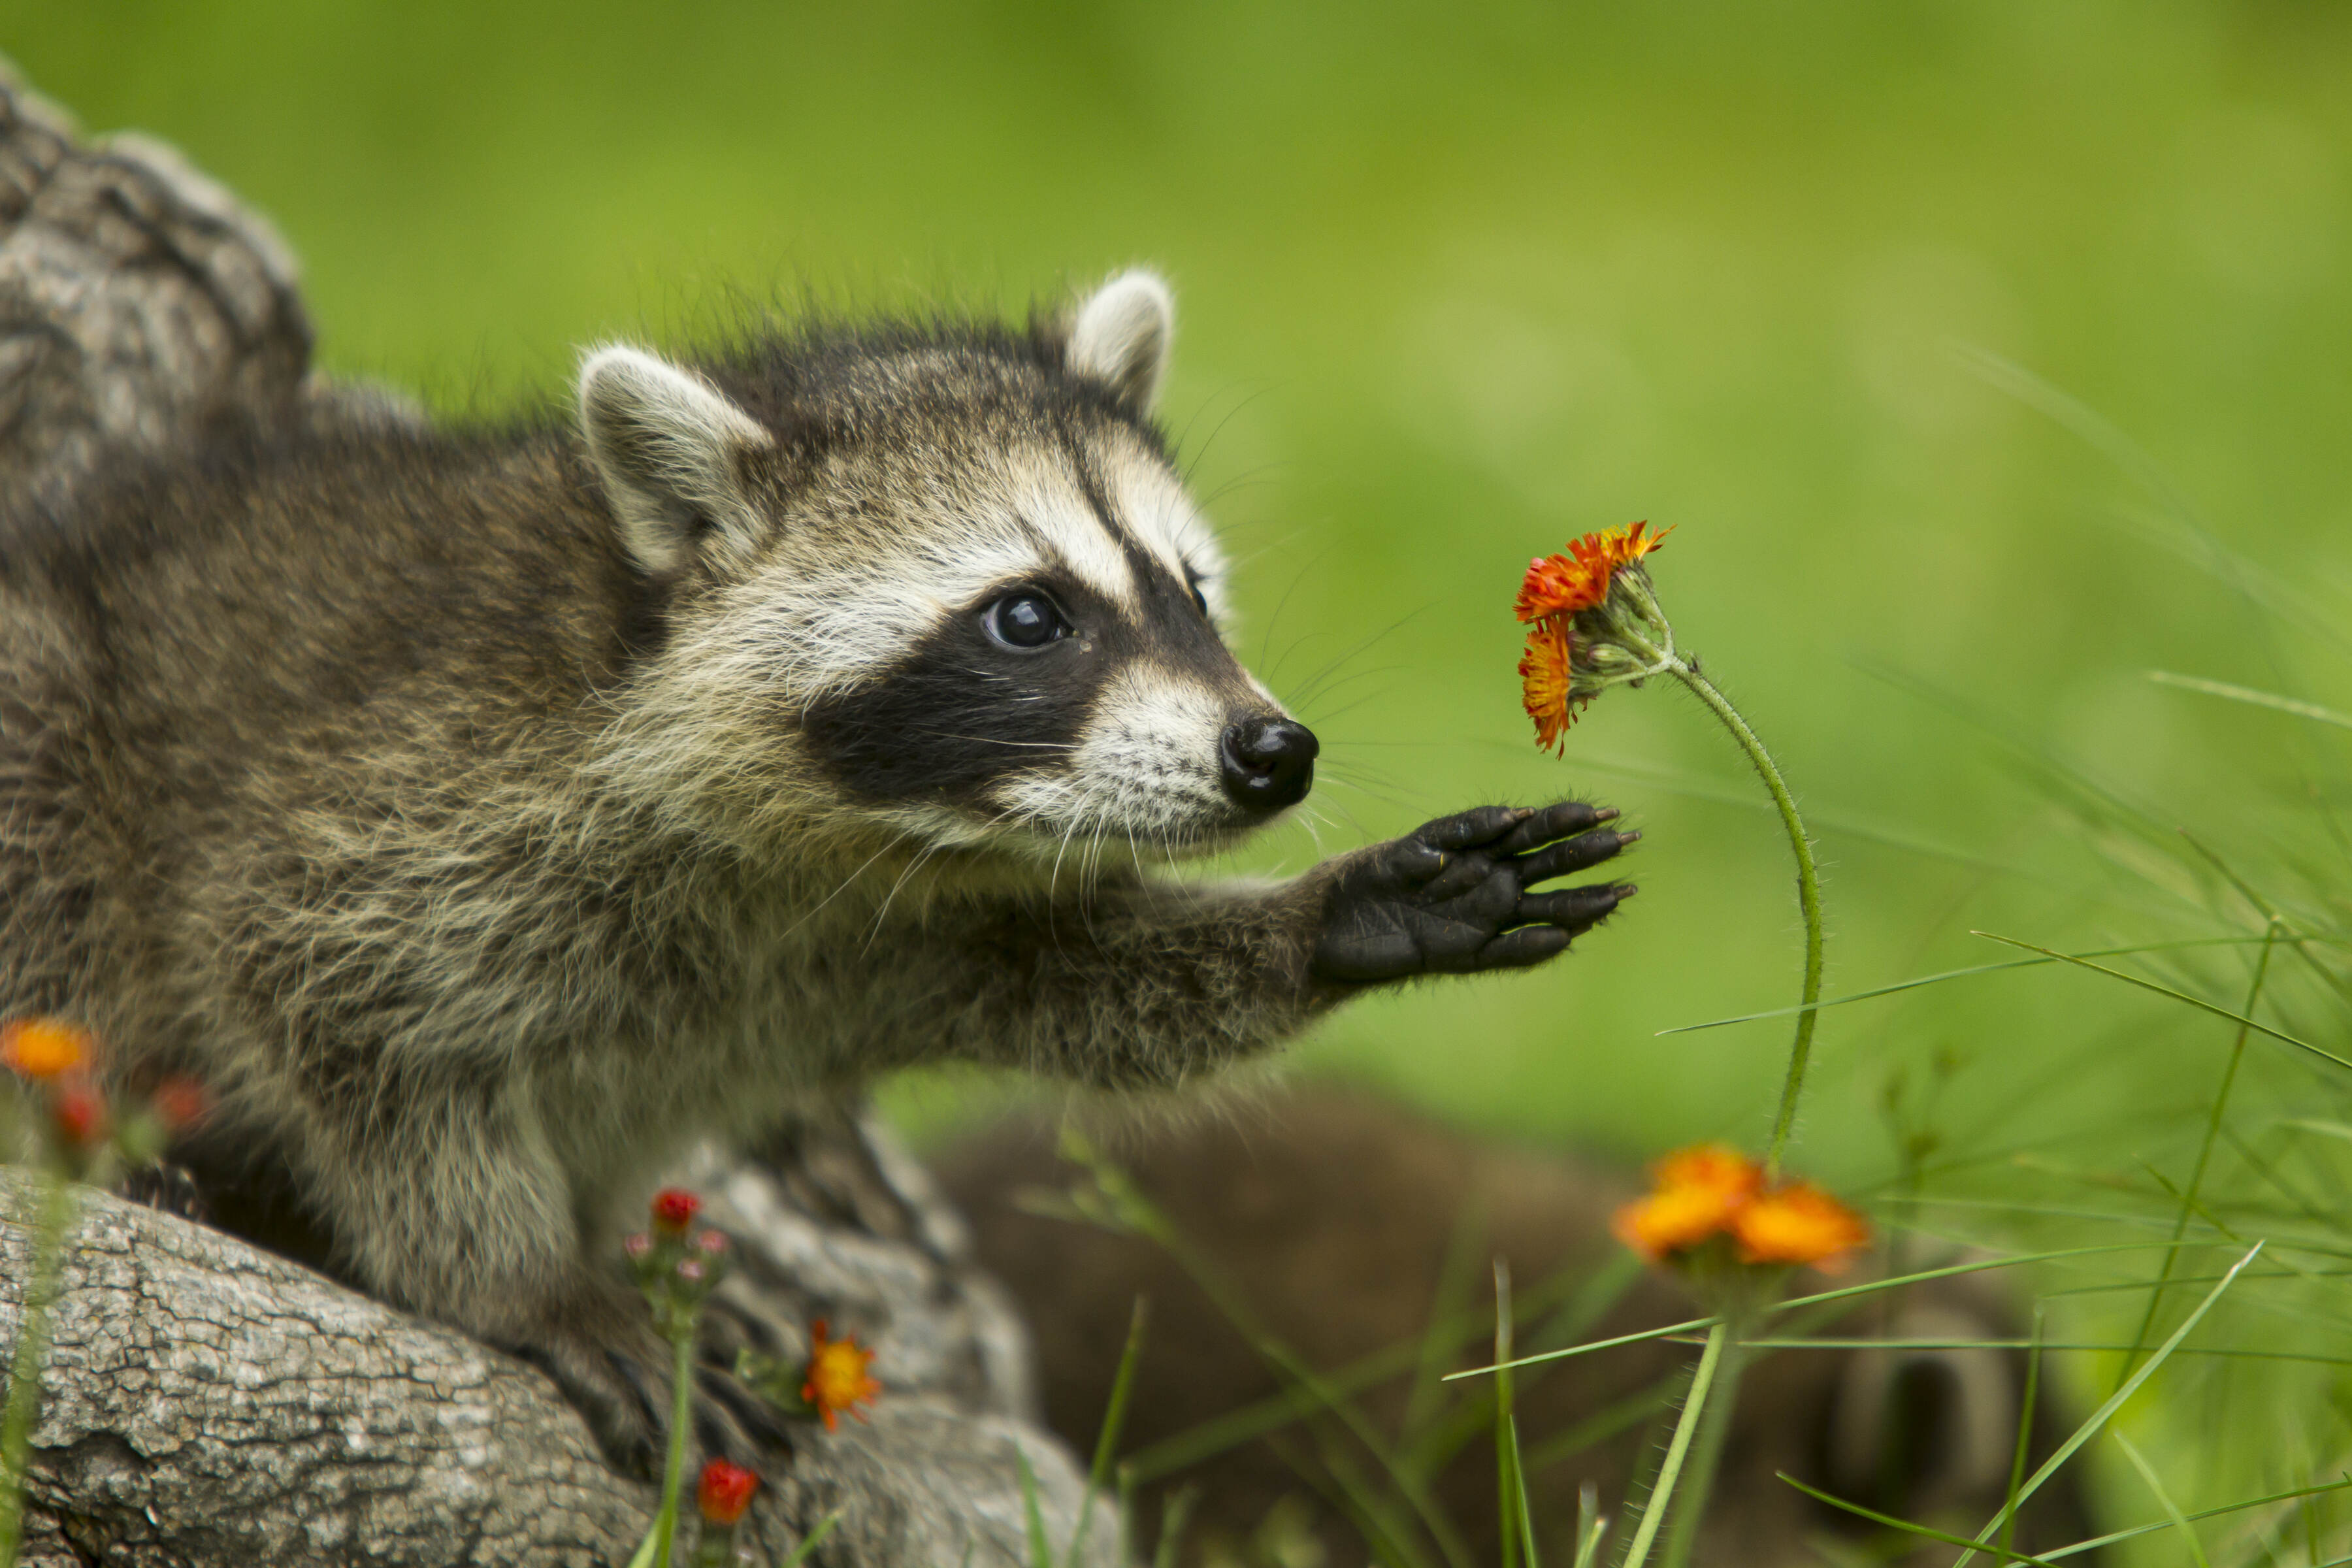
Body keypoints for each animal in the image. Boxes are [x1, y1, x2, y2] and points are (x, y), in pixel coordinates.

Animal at [0, 272, 1637, 1476]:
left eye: (1189, 591)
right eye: (1029, 617)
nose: (1272, 756)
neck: (834, 837)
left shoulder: (890, 926)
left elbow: (1075, 983)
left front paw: (1339, 919)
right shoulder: (403, 804)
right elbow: (333, 1009)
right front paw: (520, 1277)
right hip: (57, 713)